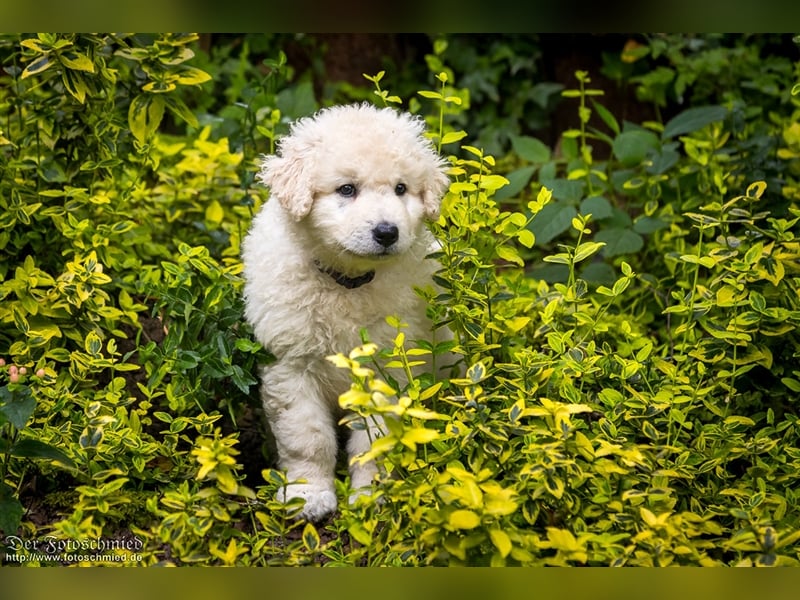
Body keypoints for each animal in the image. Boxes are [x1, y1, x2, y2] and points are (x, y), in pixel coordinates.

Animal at [241, 103, 450, 520]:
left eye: (401, 189)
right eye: (347, 189)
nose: (387, 232)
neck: (346, 283)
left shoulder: (385, 369)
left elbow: (374, 441)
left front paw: (372, 496)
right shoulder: (291, 365)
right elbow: (308, 438)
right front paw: (308, 494)